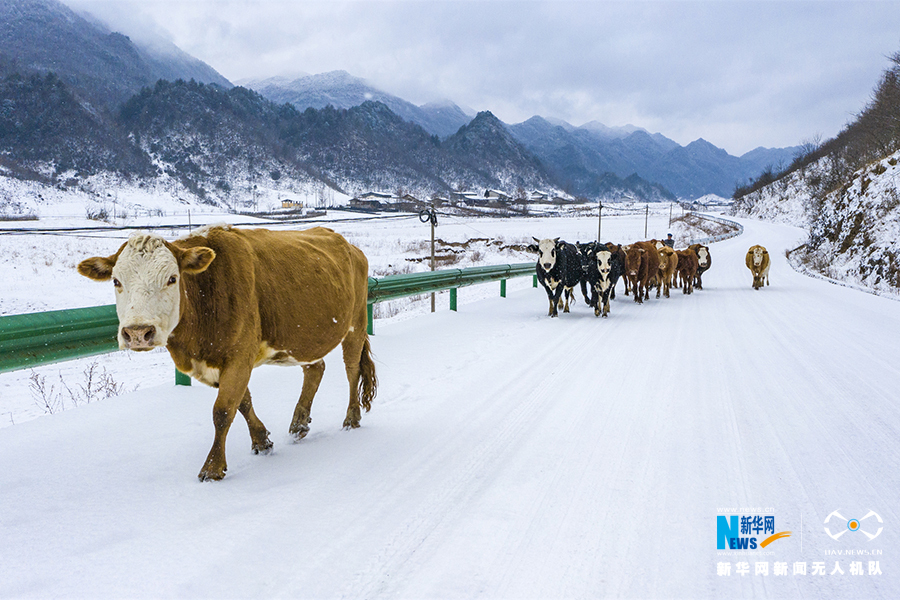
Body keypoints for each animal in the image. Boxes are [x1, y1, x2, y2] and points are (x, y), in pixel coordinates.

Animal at [74, 226, 376, 482]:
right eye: (116, 281)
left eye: (172, 278)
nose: (138, 332)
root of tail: (351, 246)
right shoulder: (220, 362)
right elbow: (243, 403)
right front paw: (262, 441)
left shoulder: (239, 355)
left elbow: (222, 411)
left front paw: (213, 467)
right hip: (307, 337)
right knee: (315, 368)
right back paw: (299, 424)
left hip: (355, 324)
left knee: (352, 370)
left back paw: (351, 418)